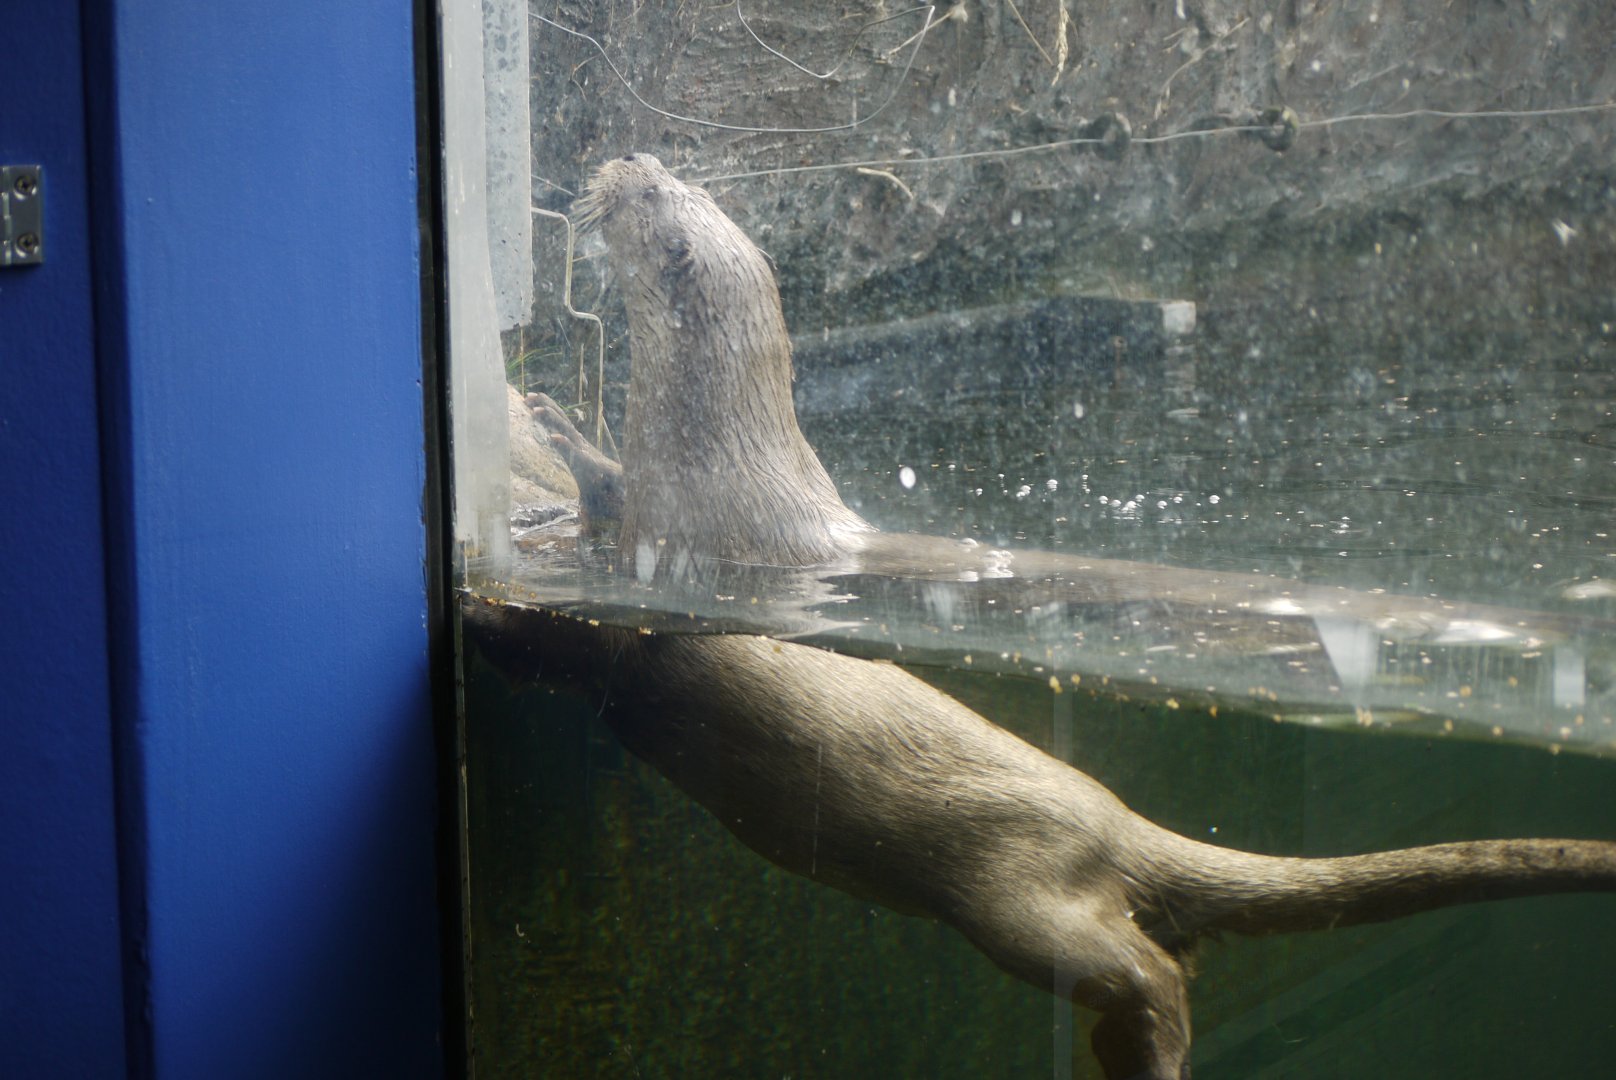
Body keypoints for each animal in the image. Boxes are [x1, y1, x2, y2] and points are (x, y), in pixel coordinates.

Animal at [492, 153, 1616, 1080]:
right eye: (678, 176)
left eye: (649, 194)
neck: (719, 447)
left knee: (1140, 965)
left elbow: (598, 575)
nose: (623, 155)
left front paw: (555, 432)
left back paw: (1149, 1050)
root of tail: (1111, 818)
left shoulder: (681, 543)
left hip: (1017, 895)